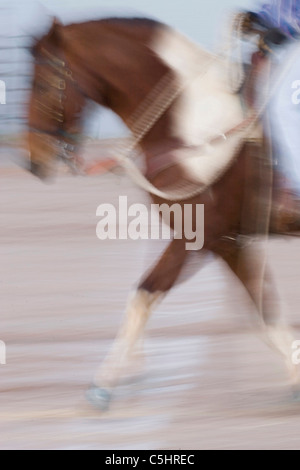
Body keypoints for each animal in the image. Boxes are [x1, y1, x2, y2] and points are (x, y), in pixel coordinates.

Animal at [27, 16, 300, 410]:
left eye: (42, 82)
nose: (32, 159)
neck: (193, 130)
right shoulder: (229, 241)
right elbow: (265, 309)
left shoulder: (198, 238)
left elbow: (144, 294)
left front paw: (103, 382)